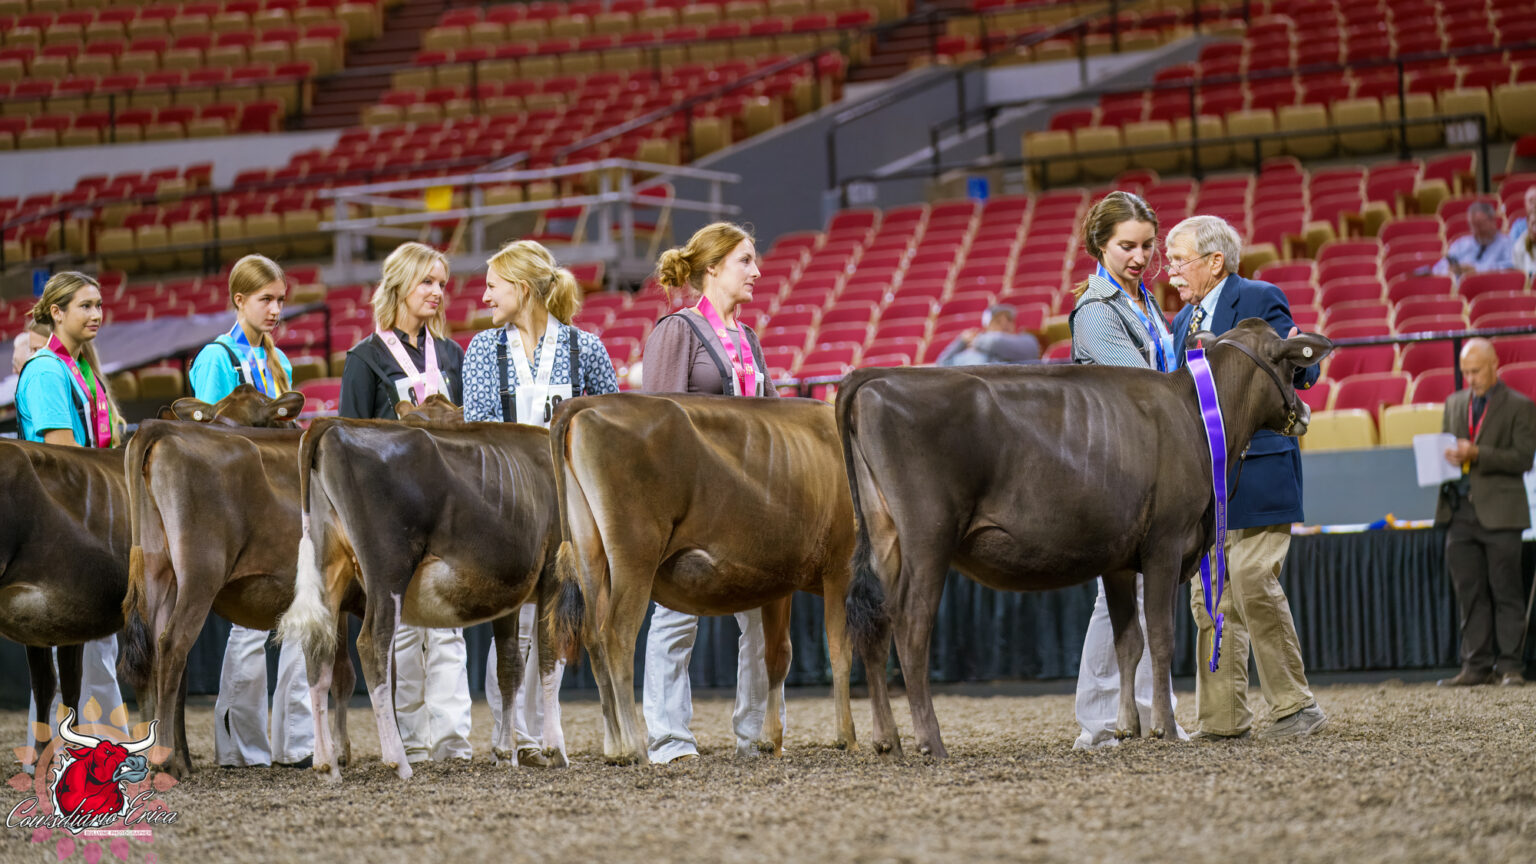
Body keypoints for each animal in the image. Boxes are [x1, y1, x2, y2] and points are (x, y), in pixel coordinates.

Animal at [121, 393, 461, 779]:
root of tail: (161, 428)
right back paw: (166, 762)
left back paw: (164, 758)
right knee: (172, 647)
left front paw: (341, 751)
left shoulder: (339, 602)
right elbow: (382, 671)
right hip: (199, 574)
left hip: (158, 573)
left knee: (152, 655)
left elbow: (342, 672)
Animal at [278, 410, 562, 781]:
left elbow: (509, 667)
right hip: (388, 566)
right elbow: (549, 659)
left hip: (328, 562)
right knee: (373, 642)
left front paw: (504, 753)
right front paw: (555, 748)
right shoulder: (557, 574)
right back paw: (398, 760)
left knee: (317, 650)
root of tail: (333, 424)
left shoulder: (509, 593)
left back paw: (327, 765)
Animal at [549, 393, 857, 765]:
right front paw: (847, 738)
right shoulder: (841, 564)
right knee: (617, 635)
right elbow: (841, 649)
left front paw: (771, 740)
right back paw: (636, 748)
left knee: (593, 637)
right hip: (635, 552)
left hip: (589, 550)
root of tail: (586, 403)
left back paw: (614, 748)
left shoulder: (781, 582)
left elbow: (777, 656)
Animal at [837, 321, 1332, 758]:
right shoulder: (1166, 543)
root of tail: (875, 377)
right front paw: (1166, 729)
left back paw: (887, 740)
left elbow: (1128, 642)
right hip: (928, 537)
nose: (1306, 414)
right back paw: (930, 741)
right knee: (910, 627)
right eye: (1291, 365)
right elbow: (1161, 637)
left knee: (875, 625)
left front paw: (1128, 727)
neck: (1199, 415)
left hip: (884, 537)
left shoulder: (1118, 560)